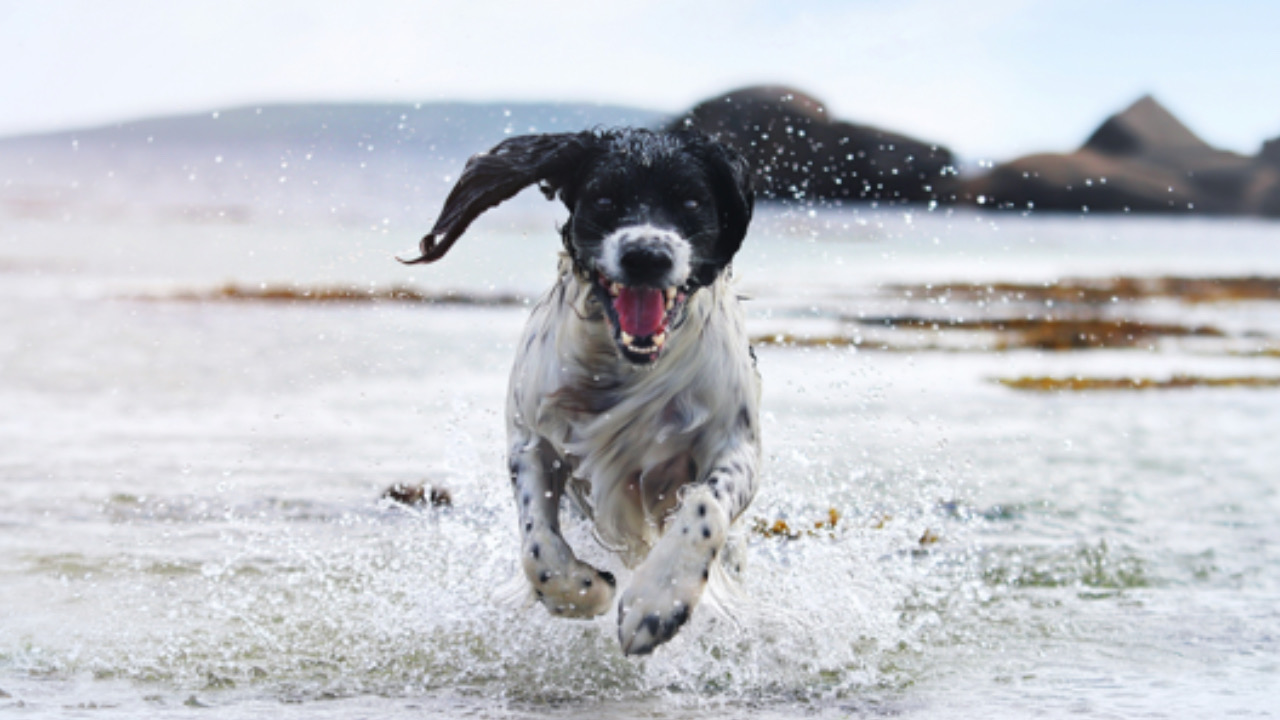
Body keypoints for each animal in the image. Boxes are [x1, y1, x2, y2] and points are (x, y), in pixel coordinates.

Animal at [404, 126, 752, 653]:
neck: (628, 367)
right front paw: (581, 591)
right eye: (605, 198)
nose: (646, 256)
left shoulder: (735, 444)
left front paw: (657, 602)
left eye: (691, 200)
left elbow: (704, 502)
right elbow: (537, 546)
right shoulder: (532, 439)